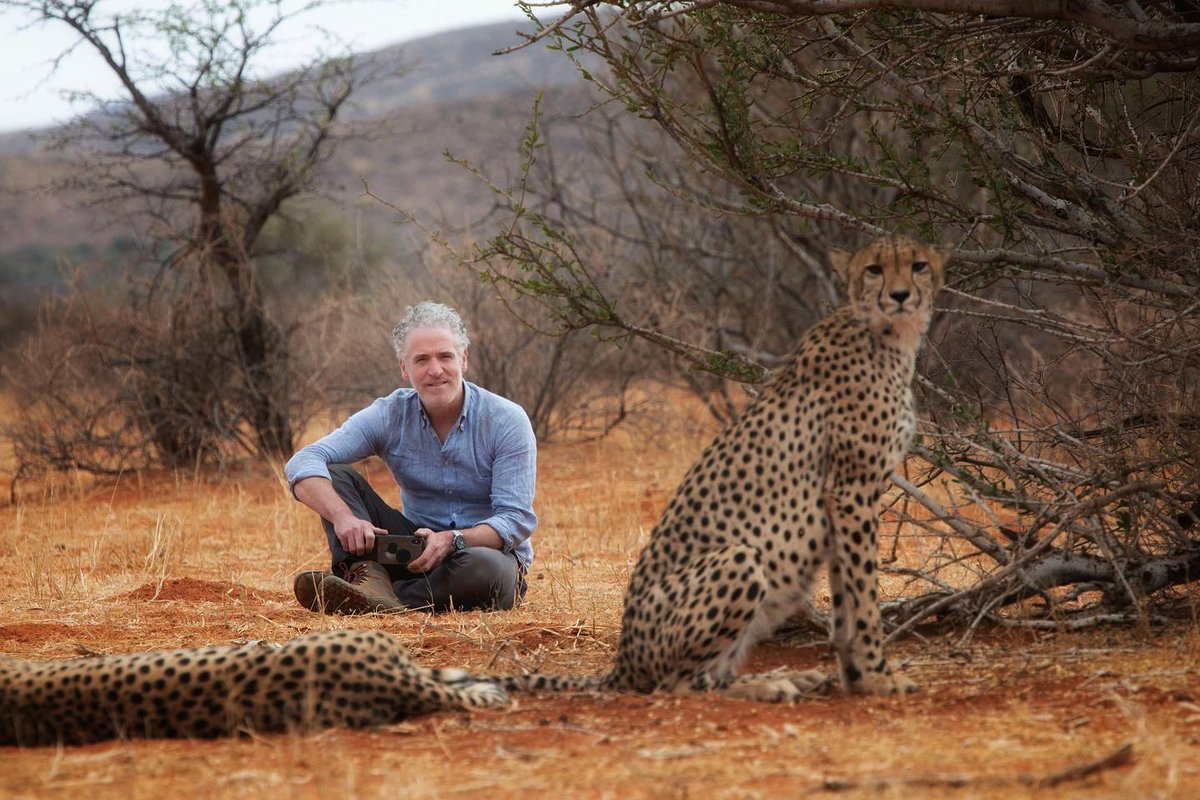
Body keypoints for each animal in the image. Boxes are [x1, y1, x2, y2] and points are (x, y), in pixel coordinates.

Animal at [495, 236, 947, 701]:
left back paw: (785, 678)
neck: (887, 337)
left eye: (918, 265)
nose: (900, 295)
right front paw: (878, 677)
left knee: (713, 672)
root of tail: (623, 663)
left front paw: (857, 676)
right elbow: (865, 598)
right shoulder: (851, 491)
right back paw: (770, 685)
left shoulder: (845, 499)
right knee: (680, 683)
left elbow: (848, 600)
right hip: (741, 558)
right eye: (874, 269)